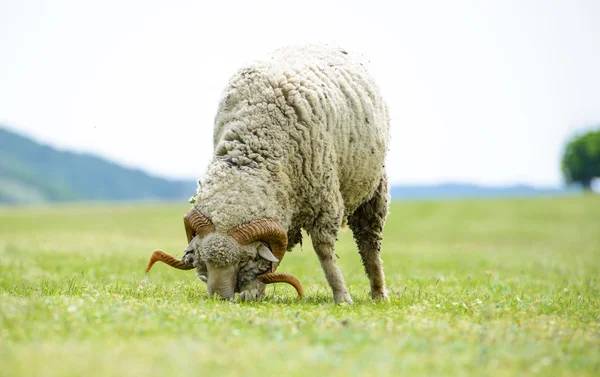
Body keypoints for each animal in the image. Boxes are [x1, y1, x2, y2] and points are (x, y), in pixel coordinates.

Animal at [147, 44, 392, 302]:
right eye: (204, 261)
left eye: (242, 261)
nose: (219, 298)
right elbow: (270, 262)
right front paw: (254, 291)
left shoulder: (324, 202)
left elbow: (324, 252)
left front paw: (342, 297)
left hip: (374, 190)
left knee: (369, 245)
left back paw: (379, 294)